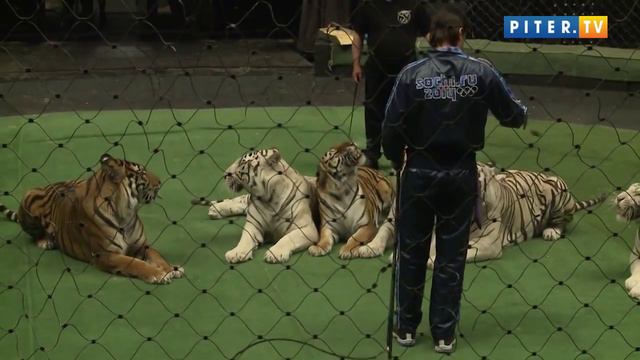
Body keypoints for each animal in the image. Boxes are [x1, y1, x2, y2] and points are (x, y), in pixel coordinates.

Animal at [0, 154, 184, 284]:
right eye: (141, 172)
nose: (160, 181)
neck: (126, 213)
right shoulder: (106, 254)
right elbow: (134, 263)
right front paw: (158, 274)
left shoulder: (141, 246)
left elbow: (157, 256)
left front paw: (171, 269)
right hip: (29, 196)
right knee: (34, 235)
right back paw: (46, 241)